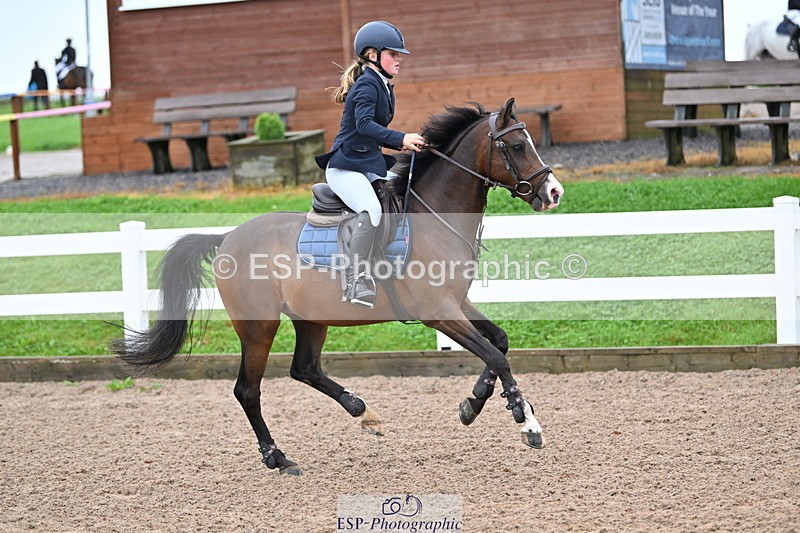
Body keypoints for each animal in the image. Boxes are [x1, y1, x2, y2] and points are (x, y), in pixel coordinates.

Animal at [110, 98, 564, 476]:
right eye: (518, 146)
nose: (554, 192)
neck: (434, 216)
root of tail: (228, 238)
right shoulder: (438, 311)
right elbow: (496, 355)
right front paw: (526, 422)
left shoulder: (457, 302)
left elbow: (499, 343)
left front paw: (473, 403)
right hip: (259, 327)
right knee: (248, 390)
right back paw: (278, 457)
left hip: (311, 318)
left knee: (304, 368)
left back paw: (361, 411)